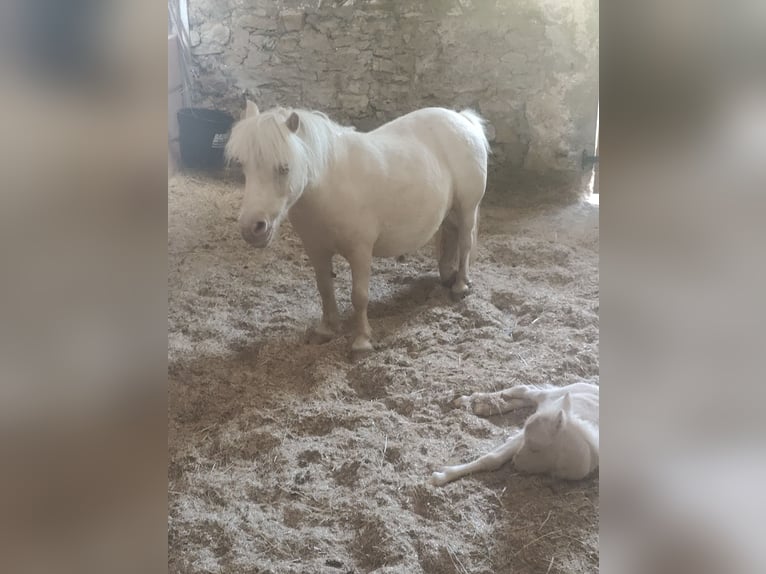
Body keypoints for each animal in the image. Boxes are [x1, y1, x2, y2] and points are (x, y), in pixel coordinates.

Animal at [225, 101, 489, 355]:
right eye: (243, 165)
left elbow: (359, 296)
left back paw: (460, 286)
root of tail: (462, 119)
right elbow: (325, 288)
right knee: (451, 236)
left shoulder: (360, 252)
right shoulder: (316, 250)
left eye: (284, 167)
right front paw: (326, 330)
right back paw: (447, 276)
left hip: (467, 208)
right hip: (450, 212)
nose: (252, 228)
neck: (329, 185)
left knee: (464, 243)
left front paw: (362, 341)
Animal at [430, 382, 599, 486]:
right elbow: (492, 459)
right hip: (552, 395)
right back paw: (467, 400)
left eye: (535, 448)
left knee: (528, 399)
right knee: (526, 390)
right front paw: (441, 477)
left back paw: (481, 407)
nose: (516, 461)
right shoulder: (522, 438)